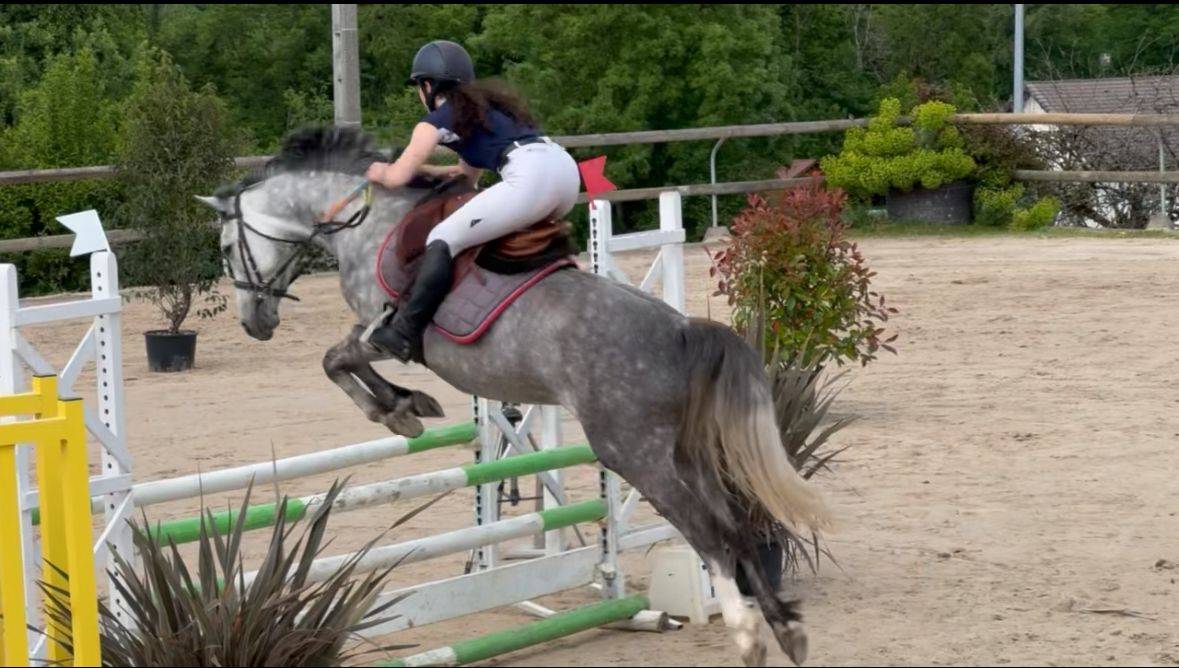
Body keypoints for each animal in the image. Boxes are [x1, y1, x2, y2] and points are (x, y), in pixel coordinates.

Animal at [199, 128, 832, 666]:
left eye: (227, 248)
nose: (255, 322)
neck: (364, 220)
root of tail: (680, 330)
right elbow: (341, 363)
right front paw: (407, 405)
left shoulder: (380, 329)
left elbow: (337, 361)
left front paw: (399, 410)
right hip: (684, 450)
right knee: (735, 523)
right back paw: (787, 629)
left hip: (634, 452)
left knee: (708, 532)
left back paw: (748, 635)